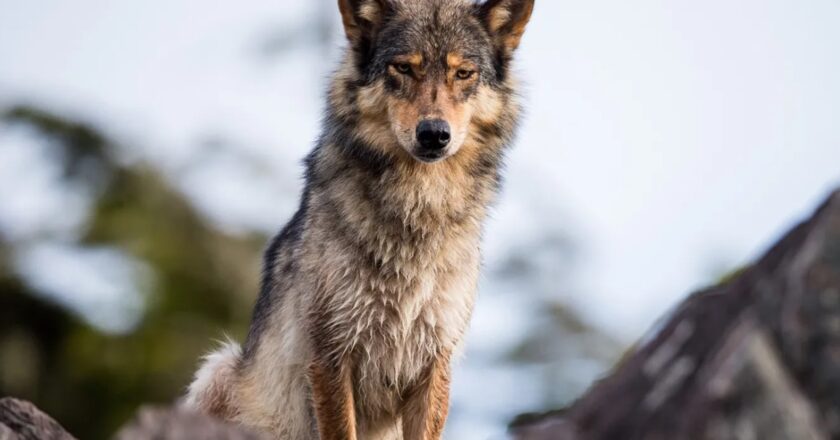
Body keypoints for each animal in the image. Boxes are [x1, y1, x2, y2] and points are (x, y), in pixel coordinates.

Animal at [187, 0, 536, 436]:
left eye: (463, 73)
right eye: (404, 68)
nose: (434, 134)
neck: (417, 210)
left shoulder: (435, 364)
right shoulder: (332, 354)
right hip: (217, 370)